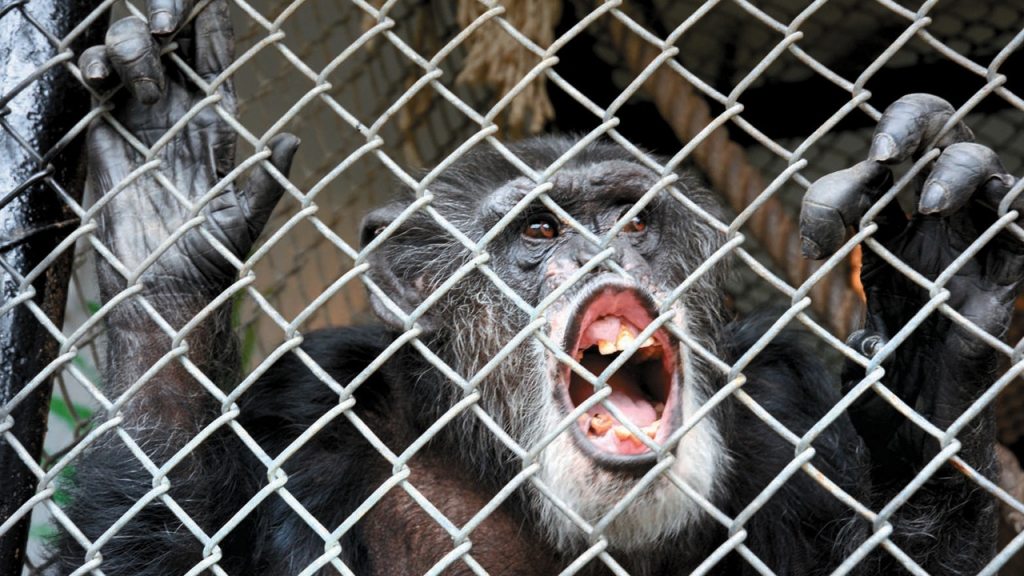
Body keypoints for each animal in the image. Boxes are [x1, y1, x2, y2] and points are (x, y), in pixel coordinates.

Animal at [46, 1, 1015, 573]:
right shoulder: (305, 407)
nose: (600, 255)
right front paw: (165, 220)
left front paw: (938, 286)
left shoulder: (787, 394)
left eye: (632, 220)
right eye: (540, 232)